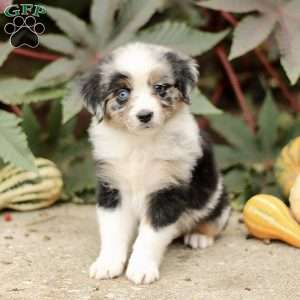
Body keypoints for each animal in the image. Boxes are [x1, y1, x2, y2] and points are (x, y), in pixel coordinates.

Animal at [79, 41, 230, 284]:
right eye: (122, 94)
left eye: (160, 88)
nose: (145, 115)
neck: (140, 142)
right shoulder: (112, 188)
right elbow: (113, 231)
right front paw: (107, 264)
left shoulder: (168, 189)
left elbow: (150, 236)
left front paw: (141, 268)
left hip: (217, 198)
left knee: (216, 220)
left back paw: (199, 236)